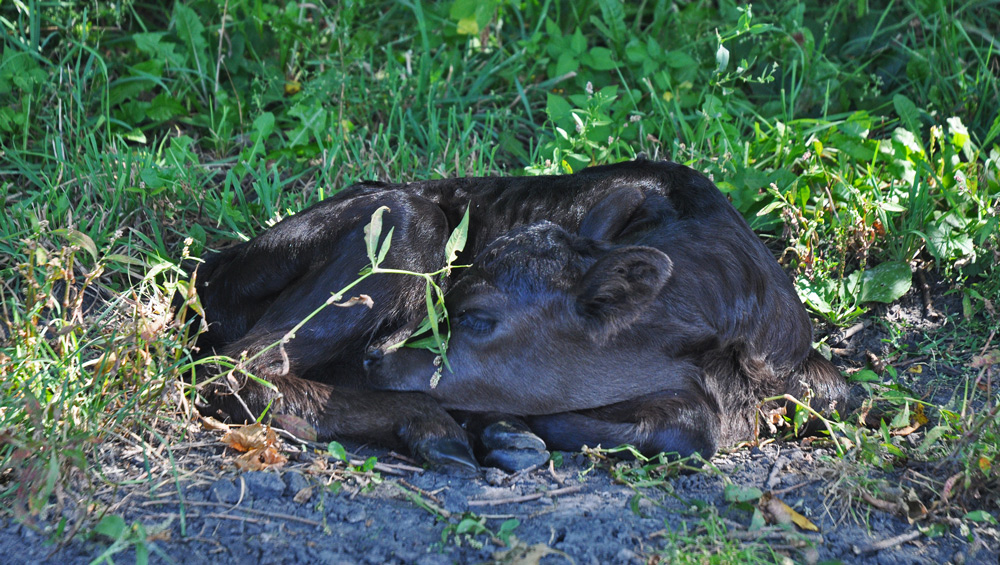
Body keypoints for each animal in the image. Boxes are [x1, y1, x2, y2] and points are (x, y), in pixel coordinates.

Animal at [189, 158, 848, 473]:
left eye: (479, 316)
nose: (377, 355)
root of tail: (211, 268)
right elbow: (695, 431)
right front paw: (507, 425)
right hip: (406, 222)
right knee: (235, 369)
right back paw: (442, 428)